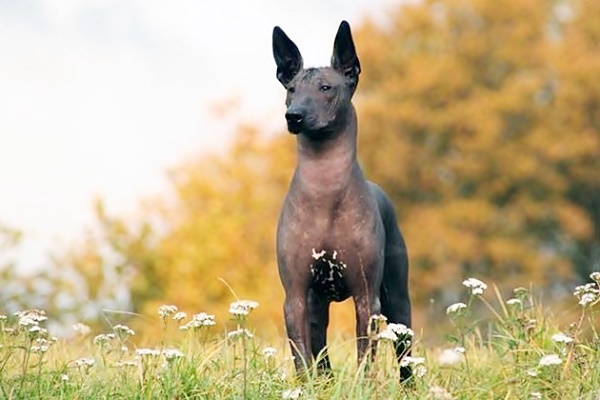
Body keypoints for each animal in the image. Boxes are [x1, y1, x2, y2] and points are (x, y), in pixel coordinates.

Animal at [274, 21, 410, 382]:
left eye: (326, 88)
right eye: (291, 88)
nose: (294, 116)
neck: (325, 190)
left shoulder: (367, 297)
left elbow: (366, 355)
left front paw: (364, 385)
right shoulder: (295, 296)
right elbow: (302, 356)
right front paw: (306, 386)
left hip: (398, 300)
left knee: (406, 352)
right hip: (316, 304)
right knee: (319, 348)